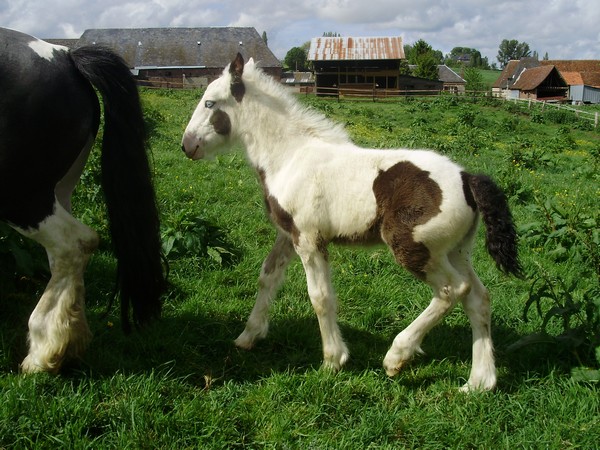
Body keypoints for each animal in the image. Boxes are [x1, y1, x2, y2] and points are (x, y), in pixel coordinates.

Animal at [182, 53, 520, 390]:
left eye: (210, 103)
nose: (187, 145)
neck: (290, 157)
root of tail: (466, 178)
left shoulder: (309, 240)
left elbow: (320, 297)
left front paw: (333, 359)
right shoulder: (288, 235)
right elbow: (268, 277)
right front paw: (248, 335)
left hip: (414, 249)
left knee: (453, 289)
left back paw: (396, 356)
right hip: (455, 251)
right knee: (478, 298)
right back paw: (479, 382)